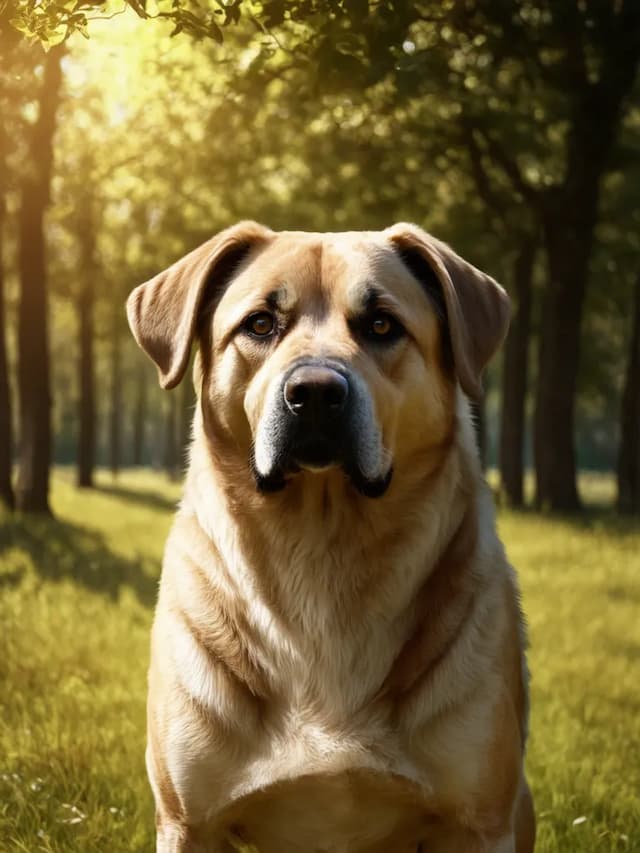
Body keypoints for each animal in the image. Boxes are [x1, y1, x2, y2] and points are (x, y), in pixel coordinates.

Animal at [126, 221, 536, 852]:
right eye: (260, 324)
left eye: (382, 325)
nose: (315, 391)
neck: (321, 551)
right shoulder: (186, 821)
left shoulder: (480, 822)